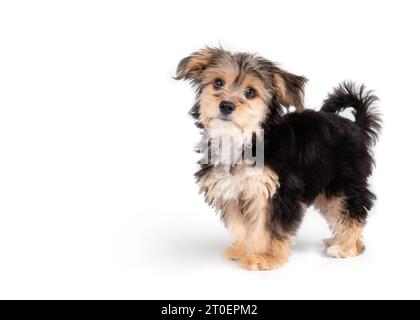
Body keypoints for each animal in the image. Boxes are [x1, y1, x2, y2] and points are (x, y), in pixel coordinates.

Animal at [174, 47, 380, 272]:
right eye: (218, 83)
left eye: (250, 92)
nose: (226, 105)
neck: (245, 138)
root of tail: (356, 126)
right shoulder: (233, 190)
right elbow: (240, 224)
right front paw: (243, 250)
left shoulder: (277, 192)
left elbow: (268, 227)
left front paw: (264, 257)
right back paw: (345, 242)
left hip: (344, 182)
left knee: (351, 210)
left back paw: (347, 247)